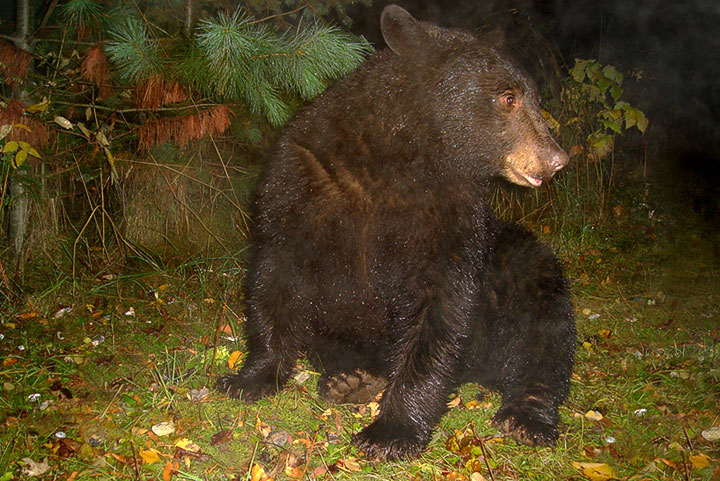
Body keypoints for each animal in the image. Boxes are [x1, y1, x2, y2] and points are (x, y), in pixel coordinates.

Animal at [217, 4, 576, 462]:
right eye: (508, 97)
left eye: (534, 98)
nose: (557, 159)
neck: (399, 161)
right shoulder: (300, 185)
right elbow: (274, 275)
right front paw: (250, 378)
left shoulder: (452, 217)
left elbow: (440, 308)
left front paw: (391, 431)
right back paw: (351, 379)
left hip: (516, 258)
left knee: (543, 328)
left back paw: (527, 415)